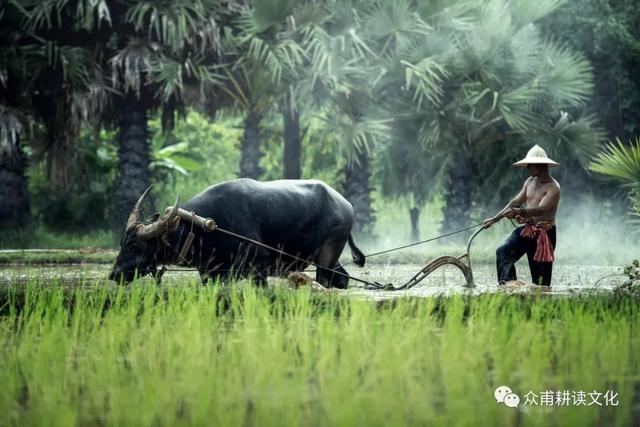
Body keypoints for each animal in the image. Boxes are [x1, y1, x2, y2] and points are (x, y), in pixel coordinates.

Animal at [110, 179, 364, 290]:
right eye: (122, 243)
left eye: (135, 246)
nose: (114, 274)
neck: (203, 228)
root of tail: (347, 204)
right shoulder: (210, 274)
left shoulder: (258, 269)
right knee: (342, 278)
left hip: (327, 255)